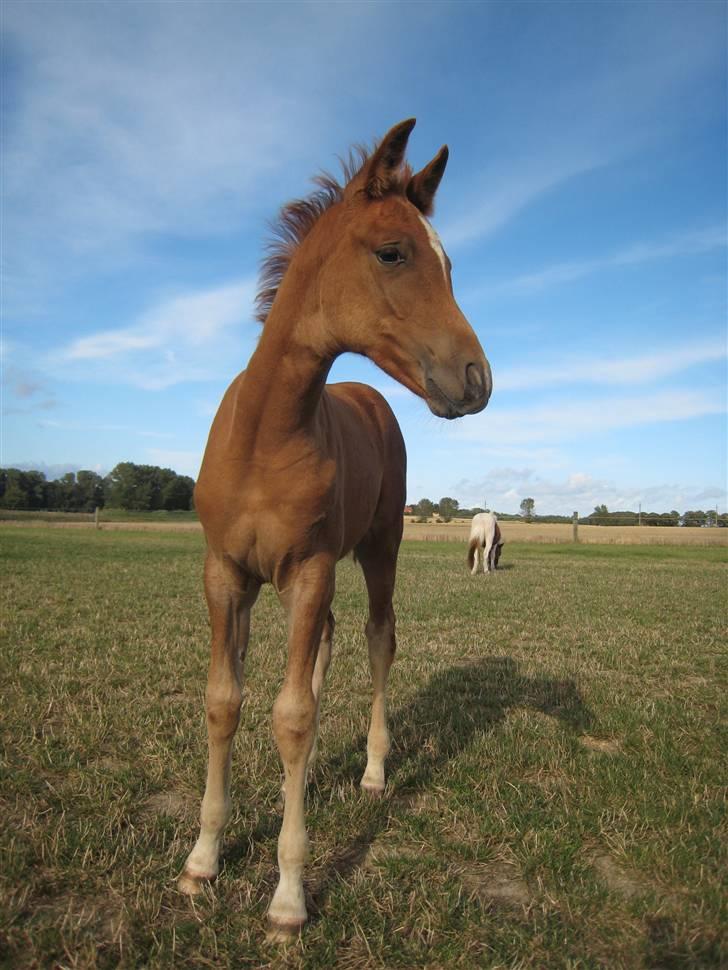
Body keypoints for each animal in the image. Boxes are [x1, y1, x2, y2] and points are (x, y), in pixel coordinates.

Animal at [179, 119, 492, 932]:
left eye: (452, 262)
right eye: (393, 252)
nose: (477, 379)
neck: (267, 433)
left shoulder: (313, 566)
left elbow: (290, 714)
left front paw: (289, 894)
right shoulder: (225, 572)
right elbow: (226, 701)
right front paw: (202, 859)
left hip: (379, 549)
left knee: (379, 640)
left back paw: (374, 769)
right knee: (322, 648)